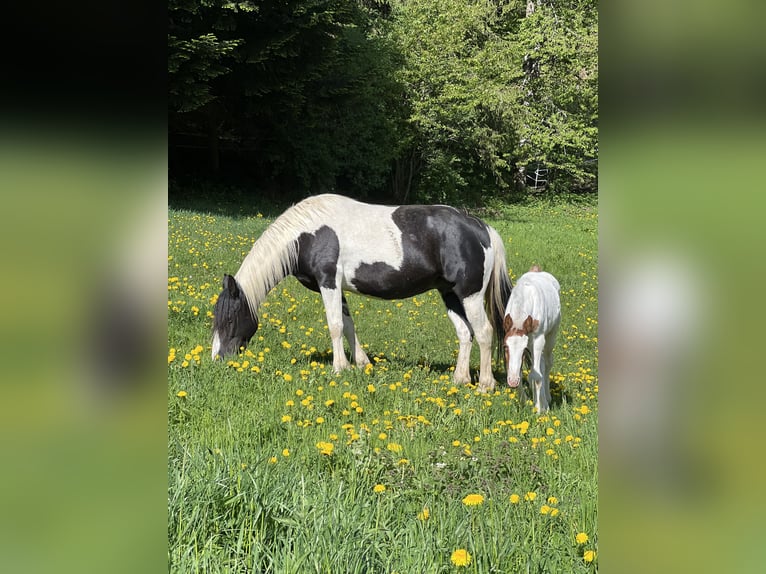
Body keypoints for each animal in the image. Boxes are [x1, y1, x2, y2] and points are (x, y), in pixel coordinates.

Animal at [211, 193, 513, 391]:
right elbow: (348, 325)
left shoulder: (328, 282)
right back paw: (460, 379)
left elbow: (334, 326)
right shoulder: (337, 288)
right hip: (449, 294)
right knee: (465, 333)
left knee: (484, 332)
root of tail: (482, 228)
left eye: (229, 320)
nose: (218, 358)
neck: (308, 233)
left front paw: (339, 368)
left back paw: (485, 385)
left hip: (469, 294)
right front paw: (361, 363)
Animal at [503, 265, 561, 412]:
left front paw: (540, 409)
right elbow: (519, 370)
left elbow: (536, 375)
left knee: (547, 364)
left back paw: (546, 399)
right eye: (505, 347)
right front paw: (524, 402)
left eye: (523, 349)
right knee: (540, 366)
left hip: (551, 336)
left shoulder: (538, 340)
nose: (512, 382)